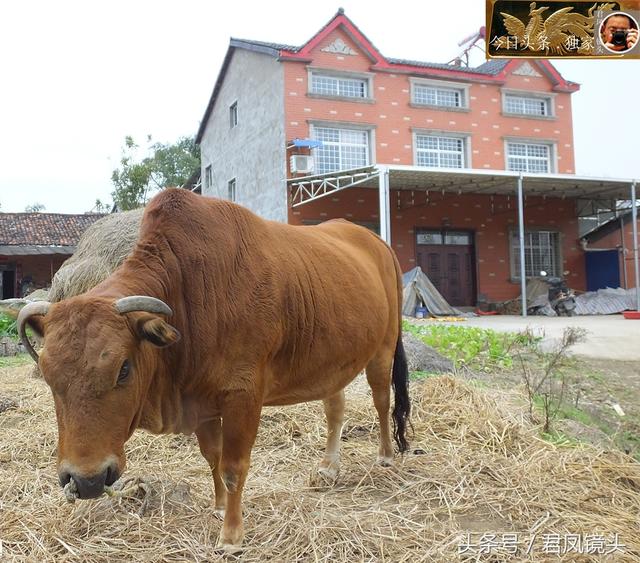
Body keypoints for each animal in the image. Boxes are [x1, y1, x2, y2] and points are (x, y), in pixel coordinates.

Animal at [20, 187, 412, 548]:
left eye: (124, 369)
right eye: (50, 378)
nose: (86, 480)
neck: (188, 289)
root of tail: (379, 243)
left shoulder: (243, 396)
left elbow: (233, 466)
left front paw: (231, 534)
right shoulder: (202, 401)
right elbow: (213, 458)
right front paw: (220, 507)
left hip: (383, 350)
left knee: (381, 402)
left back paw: (385, 456)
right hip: (334, 363)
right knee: (335, 409)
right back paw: (329, 466)